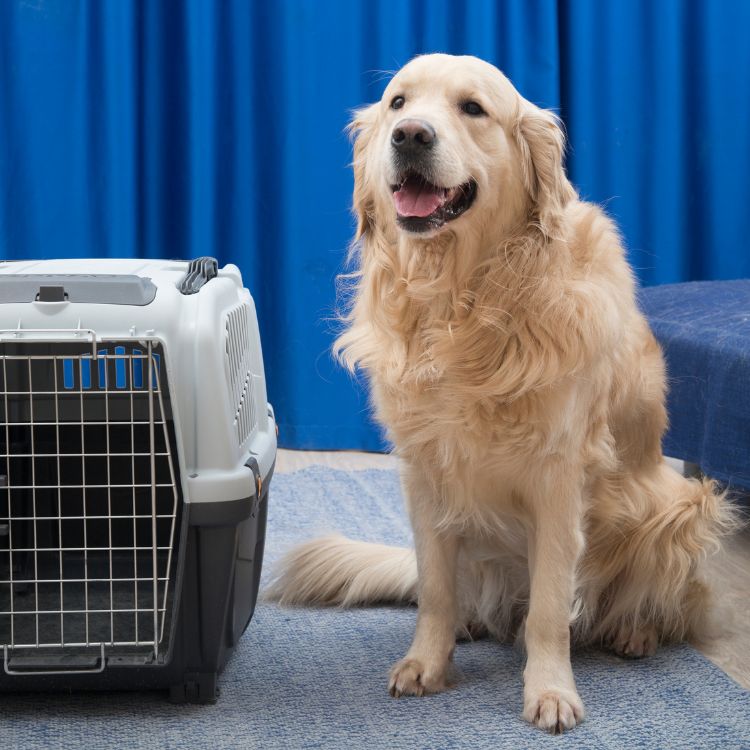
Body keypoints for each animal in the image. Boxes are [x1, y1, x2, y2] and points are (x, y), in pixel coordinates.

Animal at [268, 54, 736, 736]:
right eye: (398, 102)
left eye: (473, 108)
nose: (409, 135)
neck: (462, 301)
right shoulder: (424, 471)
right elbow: (435, 590)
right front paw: (426, 662)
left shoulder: (558, 477)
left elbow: (549, 608)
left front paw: (551, 692)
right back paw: (469, 623)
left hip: (680, 507)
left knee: (660, 601)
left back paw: (635, 631)